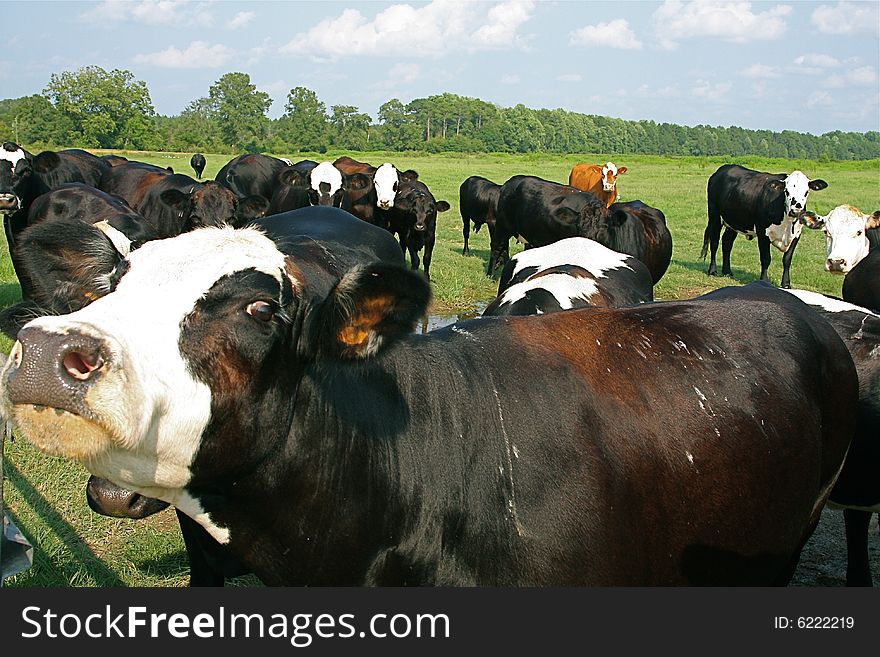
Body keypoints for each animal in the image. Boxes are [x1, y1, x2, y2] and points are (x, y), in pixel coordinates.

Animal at [492, 174, 672, 282]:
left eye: (605, 226)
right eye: (579, 228)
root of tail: (512, 181)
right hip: (501, 227)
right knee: (497, 248)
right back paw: (492, 275)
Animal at [696, 163, 828, 288]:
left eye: (806, 192)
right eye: (786, 191)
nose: (795, 210)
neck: (787, 223)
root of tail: (723, 168)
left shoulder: (796, 235)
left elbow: (787, 259)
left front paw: (786, 283)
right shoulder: (762, 233)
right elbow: (766, 258)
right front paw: (764, 280)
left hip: (734, 221)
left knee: (727, 243)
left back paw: (727, 271)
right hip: (715, 216)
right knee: (714, 242)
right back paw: (712, 270)